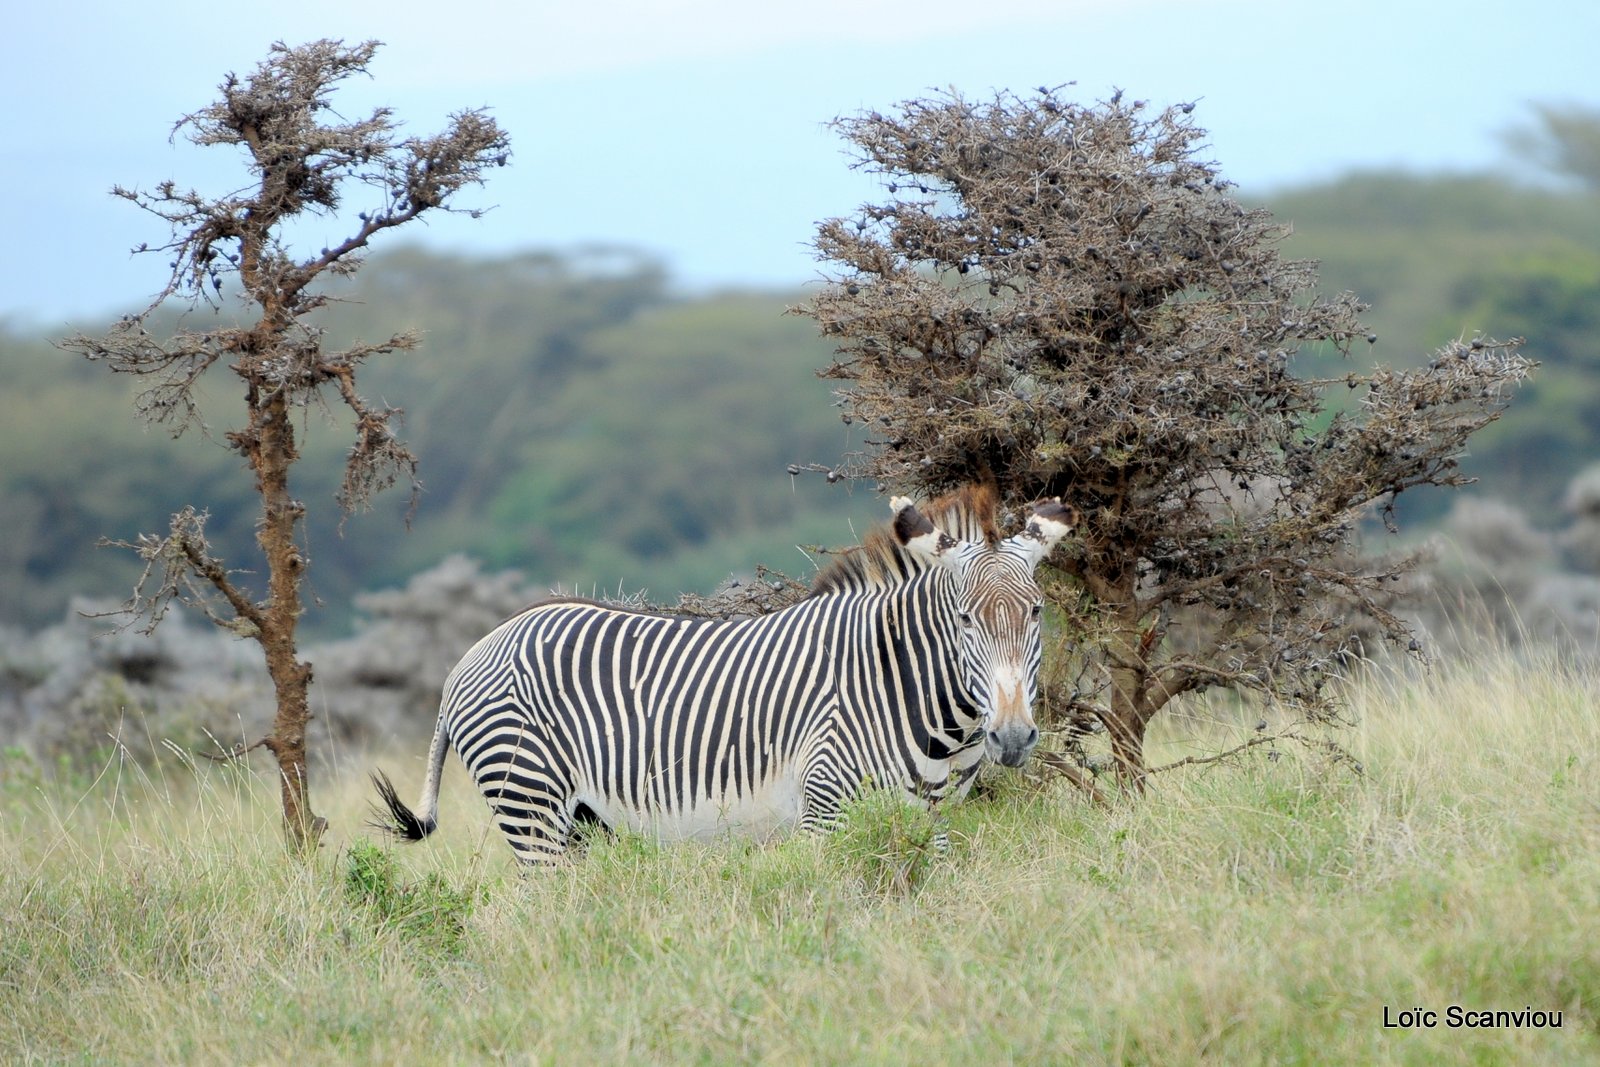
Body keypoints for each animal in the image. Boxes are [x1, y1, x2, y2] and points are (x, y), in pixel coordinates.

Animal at [374, 489, 1075, 863]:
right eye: (965, 620)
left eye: (1037, 613)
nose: (1014, 738)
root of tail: (472, 654)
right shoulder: (825, 811)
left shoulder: (934, 821)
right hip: (530, 804)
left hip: (582, 823)